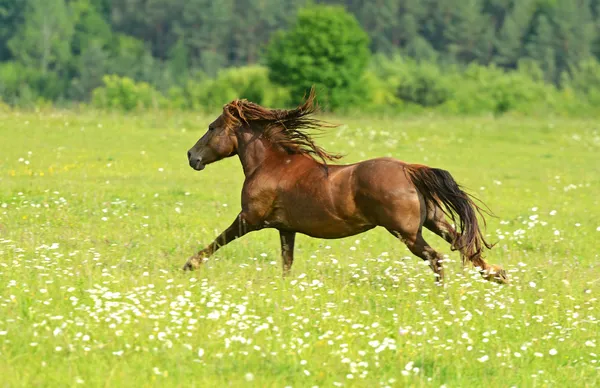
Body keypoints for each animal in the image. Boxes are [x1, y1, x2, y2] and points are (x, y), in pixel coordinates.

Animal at [182, 88, 506, 284]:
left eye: (212, 127)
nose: (191, 156)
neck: (271, 165)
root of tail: (408, 169)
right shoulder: (285, 228)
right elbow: (287, 262)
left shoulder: (249, 219)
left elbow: (219, 240)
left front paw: (189, 265)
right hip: (433, 220)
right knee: (462, 243)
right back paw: (496, 274)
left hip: (406, 231)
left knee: (437, 257)